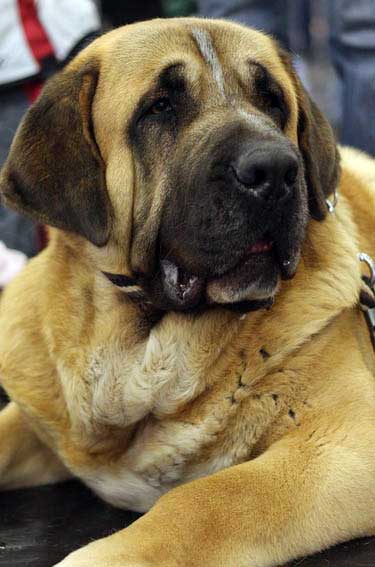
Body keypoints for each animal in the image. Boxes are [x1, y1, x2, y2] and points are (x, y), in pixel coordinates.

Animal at [0, 16, 375, 567]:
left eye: (273, 102)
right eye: (160, 107)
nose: (276, 169)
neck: (137, 349)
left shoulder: (344, 438)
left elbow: (206, 498)